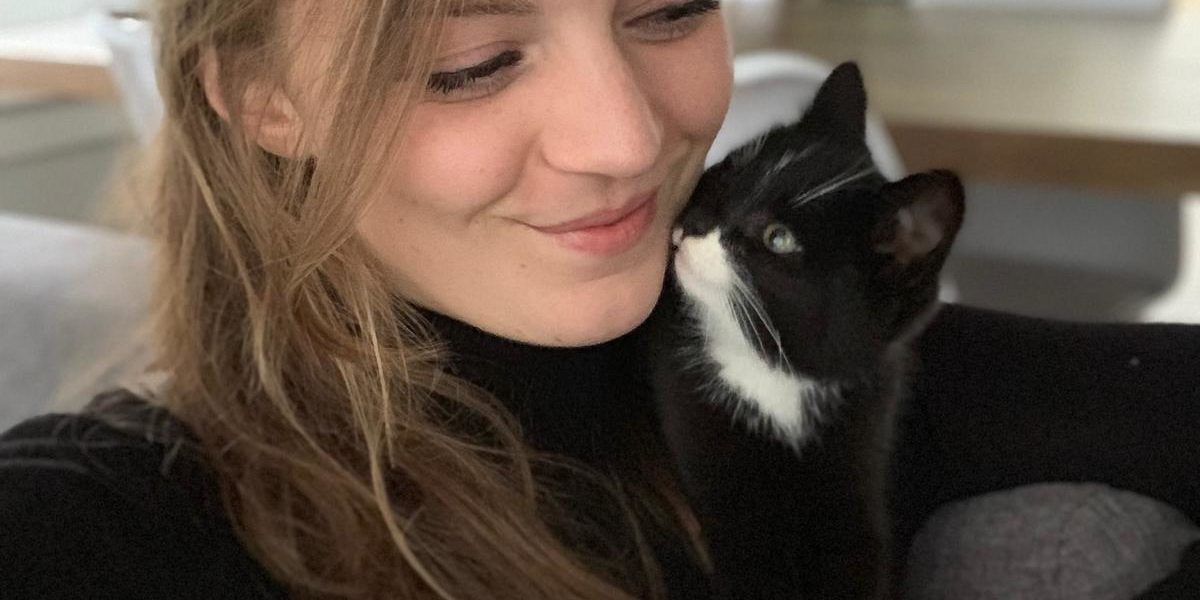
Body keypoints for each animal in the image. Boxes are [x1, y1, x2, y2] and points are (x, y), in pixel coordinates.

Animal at [645, 62, 965, 599]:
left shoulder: (863, 432)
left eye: (779, 239)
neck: (776, 373)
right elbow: (748, 556)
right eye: (731, 168)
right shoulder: (699, 427)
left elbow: (858, 549)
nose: (691, 226)